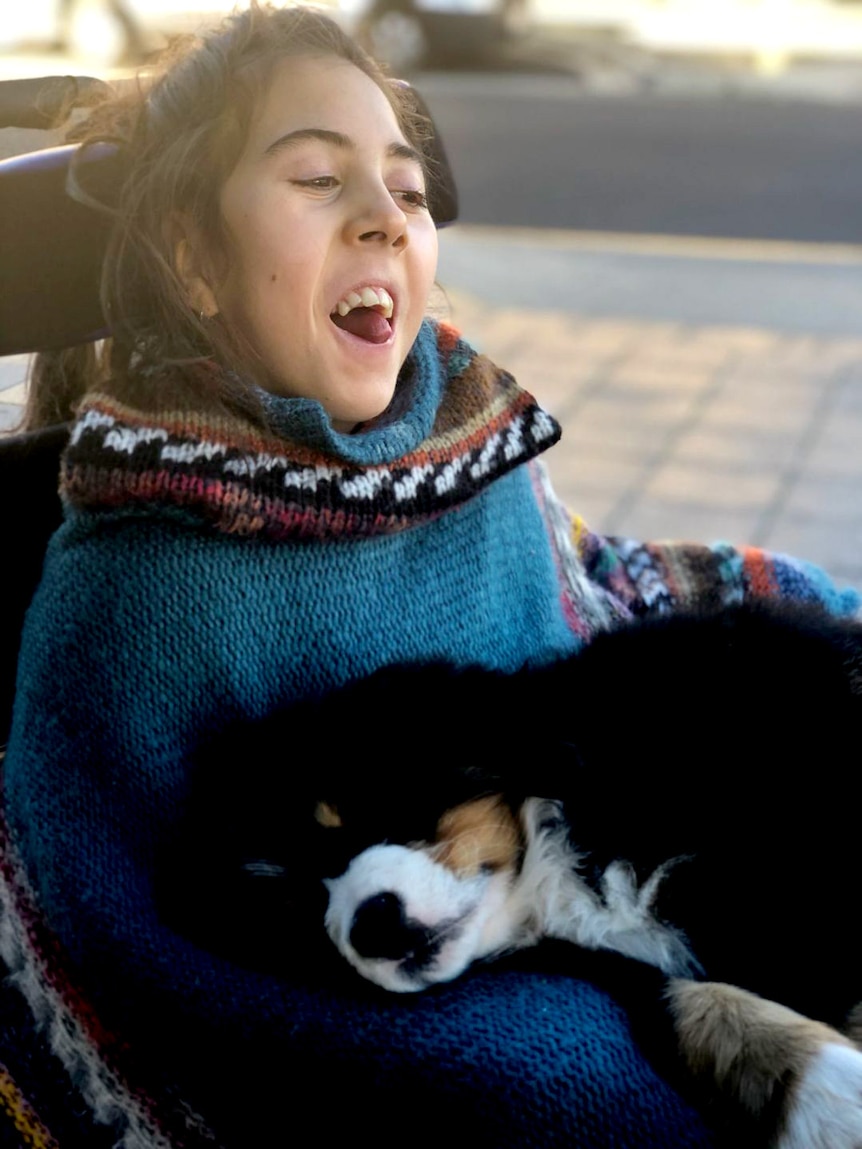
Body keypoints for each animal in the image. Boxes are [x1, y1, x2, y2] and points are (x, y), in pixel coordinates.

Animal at [160, 602, 862, 1149]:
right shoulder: (595, 962)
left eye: (369, 811)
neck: (558, 867)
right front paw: (831, 1095)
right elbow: (682, 997)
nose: (373, 927)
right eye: (295, 911)